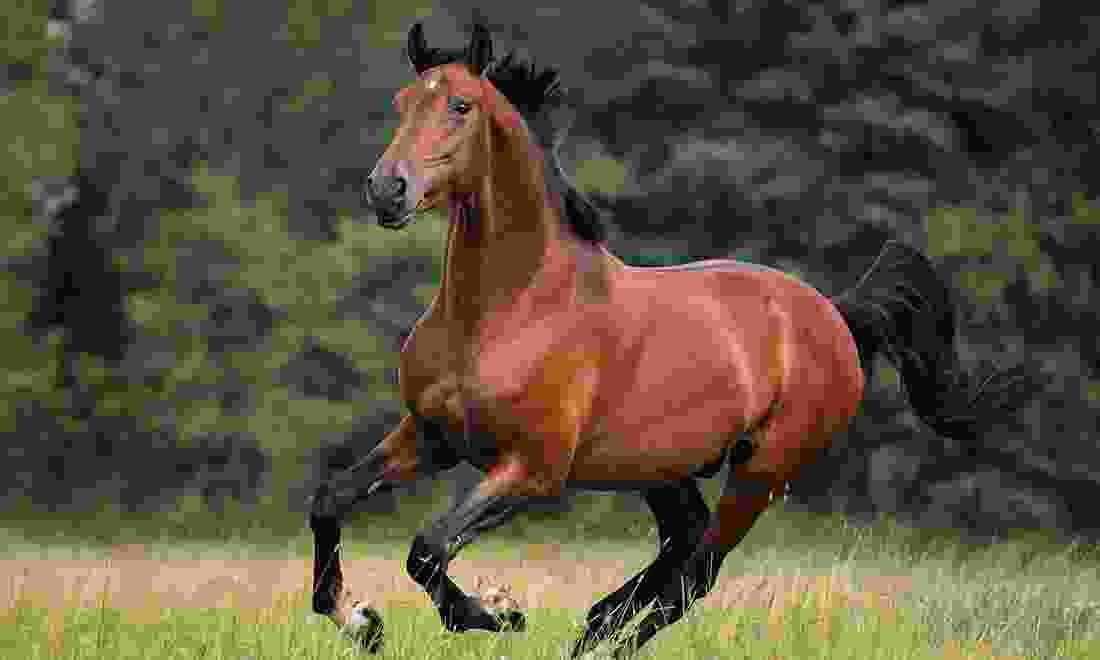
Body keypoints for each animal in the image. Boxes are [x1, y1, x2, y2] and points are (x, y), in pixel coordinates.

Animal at [308, 19, 1039, 657]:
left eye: (460, 105)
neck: (506, 311)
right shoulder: (432, 436)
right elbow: (330, 502)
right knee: (680, 552)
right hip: (665, 469)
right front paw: (360, 621)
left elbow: (428, 547)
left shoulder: (534, 469)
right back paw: (596, 625)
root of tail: (833, 314)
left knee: (697, 572)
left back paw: (596, 631)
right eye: (403, 104)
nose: (387, 189)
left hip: (763, 471)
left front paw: (494, 612)